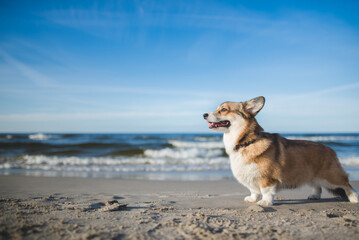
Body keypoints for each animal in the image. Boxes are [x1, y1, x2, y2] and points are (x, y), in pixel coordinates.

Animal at [204, 96, 358, 205]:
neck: (246, 142)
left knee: (347, 184)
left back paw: (354, 198)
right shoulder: (251, 177)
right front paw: (253, 199)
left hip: (331, 177)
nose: (204, 114)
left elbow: (266, 191)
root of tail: (330, 149)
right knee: (317, 186)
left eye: (223, 109)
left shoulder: (267, 178)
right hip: (311, 176)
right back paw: (314, 196)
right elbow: (254, 190)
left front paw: (265, 202)